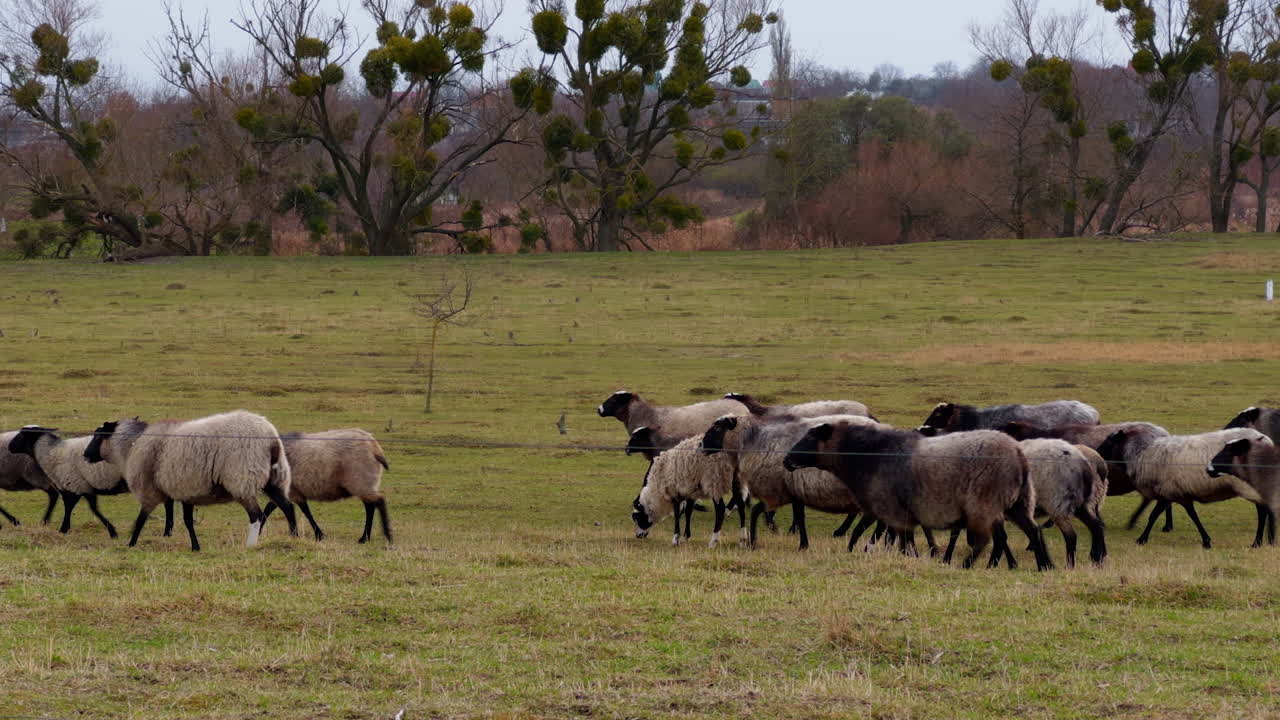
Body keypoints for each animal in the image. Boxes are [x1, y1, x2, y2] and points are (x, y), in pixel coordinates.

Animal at [82, 411, 298, 551]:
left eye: (98, 436)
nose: (85, 455)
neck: (130, 447)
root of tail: (271, 437)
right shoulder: (186, 490)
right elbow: (187, 521)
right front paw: (195, 546)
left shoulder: (150, 491)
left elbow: (141, 519)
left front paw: (131, 543)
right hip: (272, 478)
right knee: (287, 506)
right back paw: (295, 537)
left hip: (241, 479)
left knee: (256, 515)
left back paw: (250, 545)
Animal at [259, 429, 391, 544]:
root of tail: (374, 446)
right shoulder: (287, 492)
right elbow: (269, 509)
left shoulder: (292, 491)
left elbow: (302, 510)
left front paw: (316, 535)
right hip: (364, 484)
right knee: (371, 506)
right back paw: (366, 538)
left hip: (361, 482)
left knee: (378, 502)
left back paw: (385, 536)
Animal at [784, 422, 1053, 570]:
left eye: (810, 438)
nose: (786, 460)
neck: (868, 456)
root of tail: (1018, 454)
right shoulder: (902, 514)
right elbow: (906, 543)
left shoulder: (894, 512)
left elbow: (904, 544)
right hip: (1018, 502)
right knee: (1031, 530)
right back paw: (1043, 566)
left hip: (983, 502)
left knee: (987, 539)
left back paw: (968, 565)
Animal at [1097, 427, 1273, 549]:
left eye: (1110, 441)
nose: (1096, 453)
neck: (1141, 454)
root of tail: (1266, 440)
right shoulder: (1174, 494)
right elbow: (1190, 514)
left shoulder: (1168, 491)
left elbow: (1156, 516)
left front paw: (1141, 539)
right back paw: (1270, 540)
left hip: (1248, 486)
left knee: (1263, 511)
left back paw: (1257, 542)